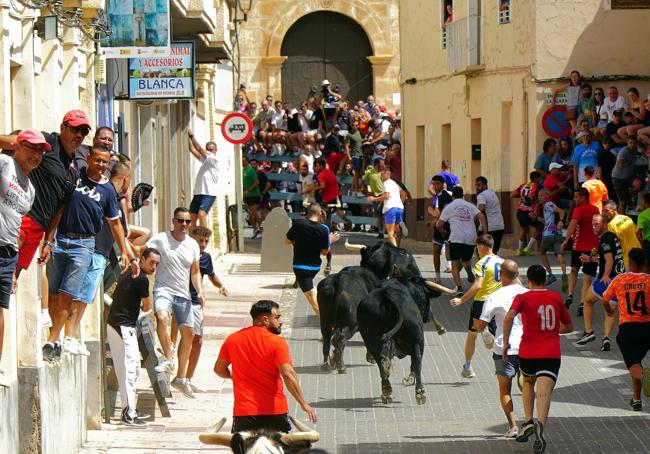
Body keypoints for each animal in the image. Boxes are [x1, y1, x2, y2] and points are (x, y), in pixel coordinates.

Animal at [356, 276, 454, 404]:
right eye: (424, 297)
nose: (428, 317)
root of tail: (386, 296)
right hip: (418, 341)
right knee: (416, 363)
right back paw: (419, 392)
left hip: (371, 341)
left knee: (382, 365)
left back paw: (386, 392)